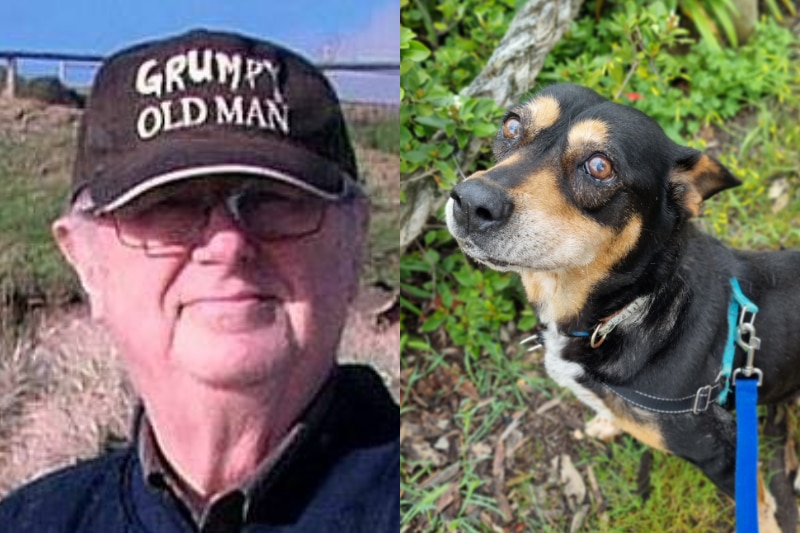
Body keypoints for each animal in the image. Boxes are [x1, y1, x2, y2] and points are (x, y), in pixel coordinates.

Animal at [444, 82, 800, 528]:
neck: (629, 307)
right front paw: (607, 422)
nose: (470, 202)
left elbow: (762, 506)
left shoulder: (723, 452)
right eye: (511, 126)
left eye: (599, 166)